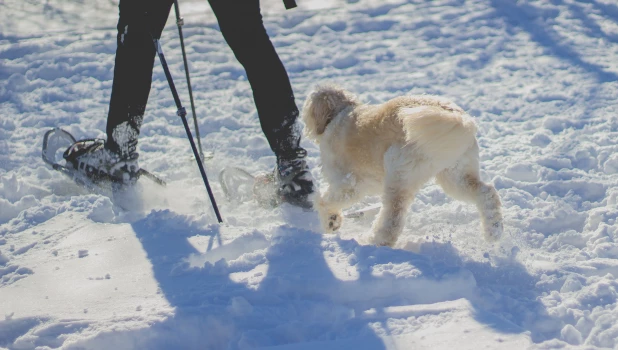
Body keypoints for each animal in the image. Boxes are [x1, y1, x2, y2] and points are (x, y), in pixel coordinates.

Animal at [302, 85, 500, 246]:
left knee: (393, 219)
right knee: (487, 193)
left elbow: (325, 201)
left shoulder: (349, 184)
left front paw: (330, 220)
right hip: (456, 175)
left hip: (398, 174)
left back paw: (375, 241)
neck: (339, 113)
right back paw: (494, 231)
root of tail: (456, 116)